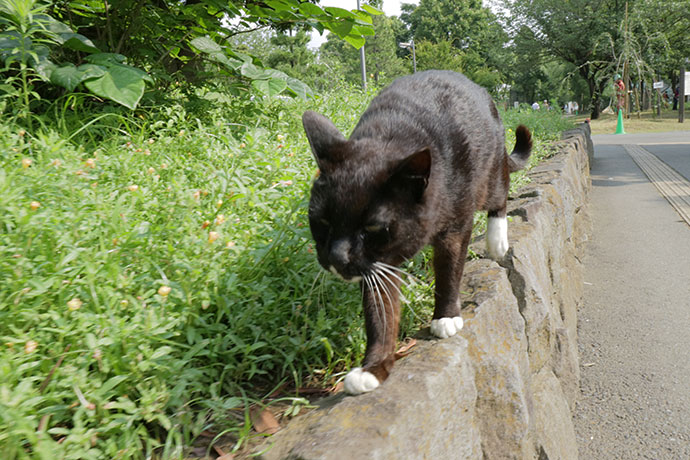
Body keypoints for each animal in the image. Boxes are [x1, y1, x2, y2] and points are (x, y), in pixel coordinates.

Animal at [300, 69, 532, 396]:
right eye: (322, 222)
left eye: (372, 227)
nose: (336, 257)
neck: (392, 135)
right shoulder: (378, 262)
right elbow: (380, 310)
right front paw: (374, 367)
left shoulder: (454, 227)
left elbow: (449, 269)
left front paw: (446, 317)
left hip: (490, 169)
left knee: (500, 193)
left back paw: (497, 240)